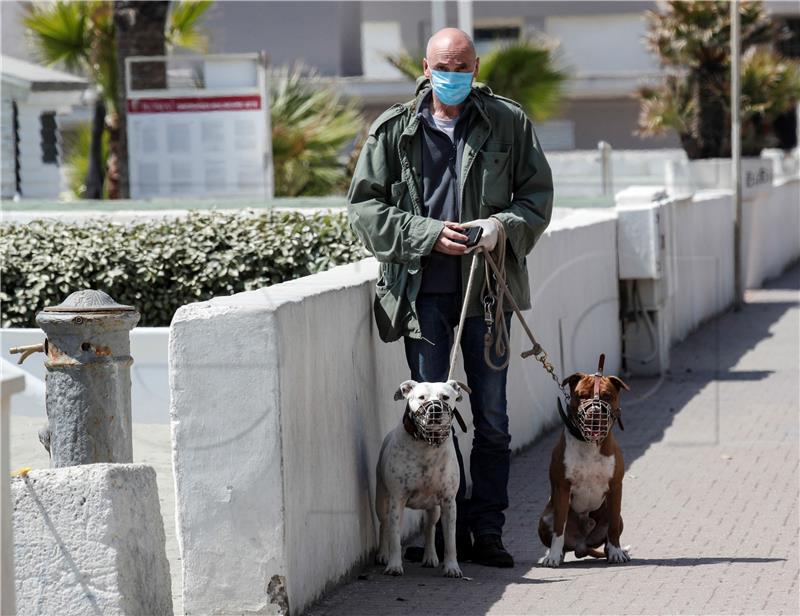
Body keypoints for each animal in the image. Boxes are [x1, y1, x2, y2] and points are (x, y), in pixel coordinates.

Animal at [376, 380, 468, 576]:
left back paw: (430, 557)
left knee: (429, 528)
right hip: (381, 500)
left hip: (434, 508)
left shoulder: (449, 503)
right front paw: (394, 565)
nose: (435, 409)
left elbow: (450, 541)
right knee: (384, 524)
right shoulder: (397, 500)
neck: (427, 446)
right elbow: (394, 537)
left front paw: (452, 567)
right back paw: (382, 554)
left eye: (445, 397)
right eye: (421, 397)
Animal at [536, 368, 632, 564]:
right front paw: (553, 556)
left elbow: (613, 529)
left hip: (616, 516)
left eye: (607, 396)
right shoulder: (562, 488)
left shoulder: (615, 487)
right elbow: (559, 527)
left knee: (610, 531)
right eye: (582, 396)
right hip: (545, 518)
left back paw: (614, 551)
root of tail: (581, 546)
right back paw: (554, 554)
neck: (589, 444)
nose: (595, 411)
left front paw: (617, 552)